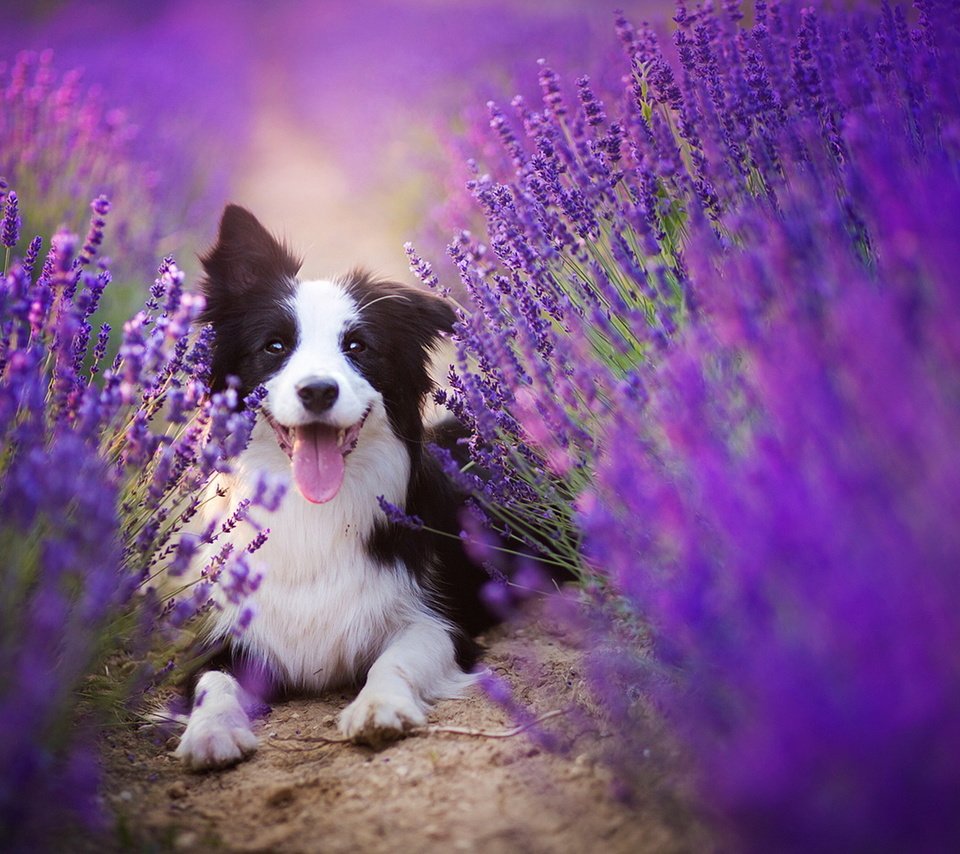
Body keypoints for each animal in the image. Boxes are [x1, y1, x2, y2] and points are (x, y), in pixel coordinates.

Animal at [173, 204, 498, 772]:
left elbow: (396, 659)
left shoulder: (438, 620)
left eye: (357, 347)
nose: (318, 390)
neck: (314, 512)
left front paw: (378, 707)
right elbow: (212, 684)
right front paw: (211, 733)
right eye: (275, 346)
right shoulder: (226, 637)